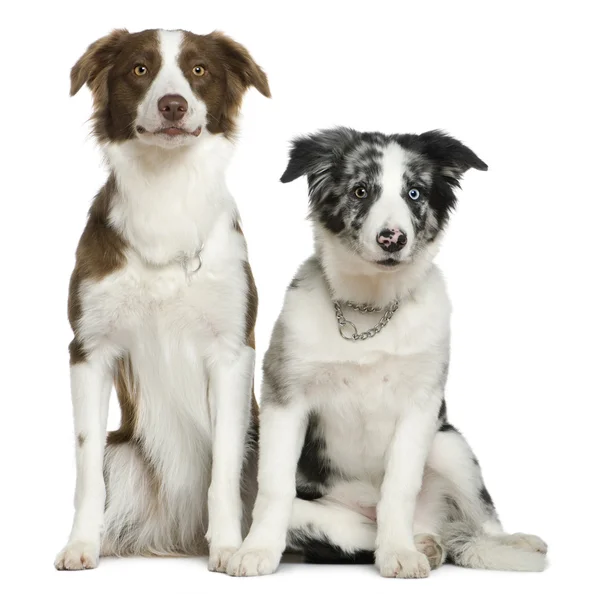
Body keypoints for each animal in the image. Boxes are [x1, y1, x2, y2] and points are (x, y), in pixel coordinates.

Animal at [226, 128, 548, 572]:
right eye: (360, 191)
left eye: (414, 193)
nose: (392, 239)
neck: (369, 309)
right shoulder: (284, 397)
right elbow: (275, 487)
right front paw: (256, 551)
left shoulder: (421, 406)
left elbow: (399, 487)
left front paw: (398, 552)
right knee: (355, 529)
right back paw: (427, 545)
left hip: (450, 445)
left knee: (482, 519)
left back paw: (497, 542)